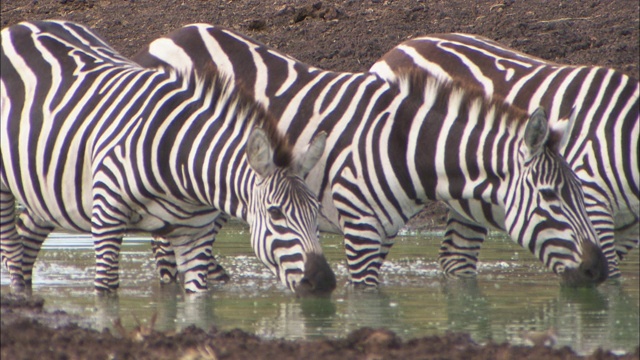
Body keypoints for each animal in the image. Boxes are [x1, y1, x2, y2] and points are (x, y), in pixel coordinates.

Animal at [0, 20, 338, 296]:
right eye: (275, 213)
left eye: (316, 210)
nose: (323, 281)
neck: (183, 165)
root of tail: (21, 26)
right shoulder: (107, 215)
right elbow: (106, 294)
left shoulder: (195, 235)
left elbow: (197, 302)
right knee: (12, 250)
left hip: (46, 186)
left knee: (27, 237)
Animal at [132, 23, 608, 286]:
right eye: (550, 196)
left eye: (581, 192)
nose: (597, 271)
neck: (403, 145)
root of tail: (163, 40)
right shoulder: (359, 229)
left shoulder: (385, 230)